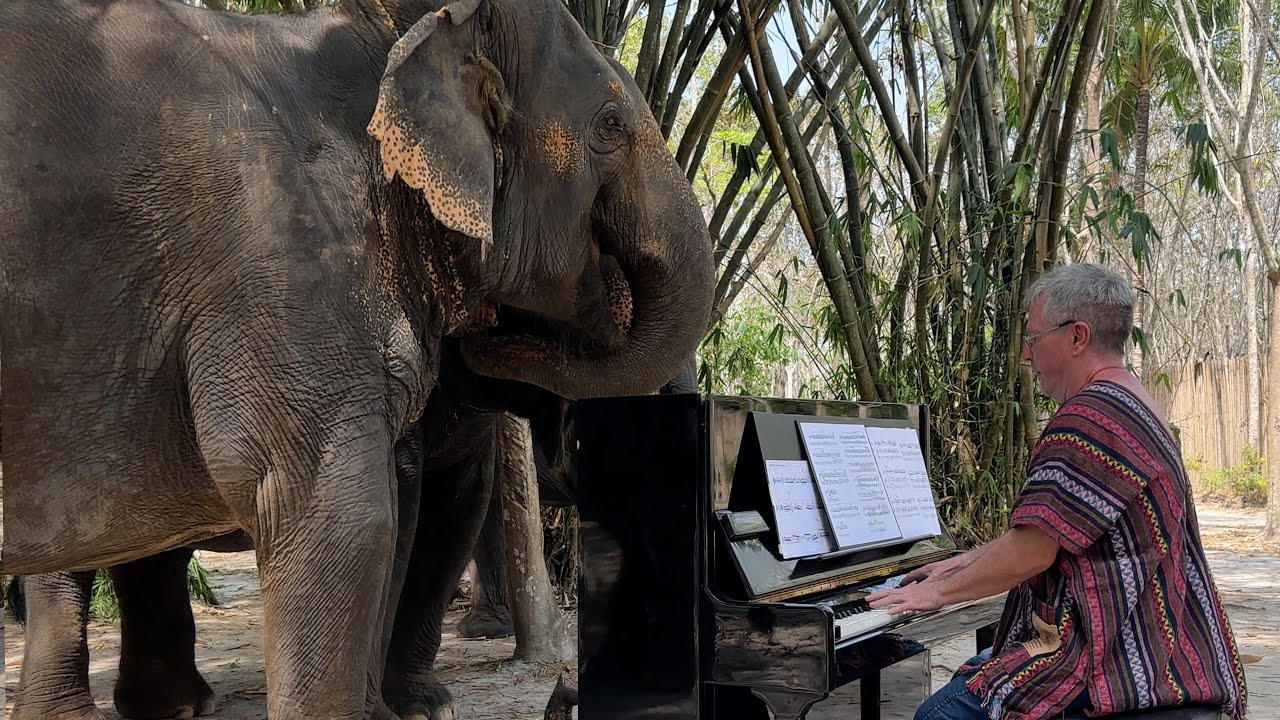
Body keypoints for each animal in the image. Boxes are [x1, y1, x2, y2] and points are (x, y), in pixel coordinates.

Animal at [0, 0, 715, 717]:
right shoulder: (288, 277)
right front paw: (408, 708)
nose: (488, 336)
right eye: (610, 125)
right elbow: (353, 515)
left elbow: (443, 503)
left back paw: (172, 707)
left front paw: (408, 708)